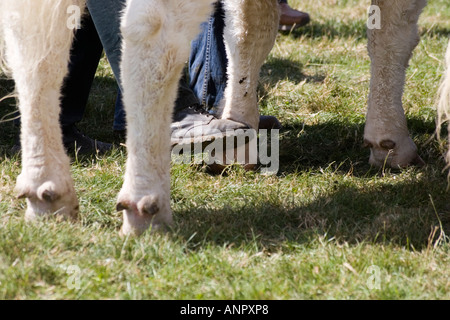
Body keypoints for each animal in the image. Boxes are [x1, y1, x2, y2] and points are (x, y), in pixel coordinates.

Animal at [0, 0, 448, 235]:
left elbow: (249, 29)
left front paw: (241, 136)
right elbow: (392, 33)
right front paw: (391, 140)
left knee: (35, 43)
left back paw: (47, 190)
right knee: (150, 33)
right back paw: (147, 204)